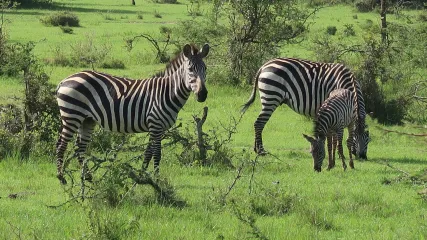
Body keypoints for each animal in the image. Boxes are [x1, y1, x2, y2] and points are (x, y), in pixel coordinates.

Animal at [55, 43, 211, 184]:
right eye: (190, 69)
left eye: (205, 69)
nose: (202, 95)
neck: (167, 92)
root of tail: (65, 80)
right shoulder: (156, 124)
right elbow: (157, 154)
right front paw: (158, 180)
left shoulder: (157, 128)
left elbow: (148, 153)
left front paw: (143, 175)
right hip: (72, 116)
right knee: (61, 145)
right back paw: (61, 178)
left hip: (87, 120)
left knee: (80, 147)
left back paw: (87, 177)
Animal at [241, 57, 372, 159]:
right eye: (356, 137)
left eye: (368, 139)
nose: (363, 157)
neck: (344, 84)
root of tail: (264, 66)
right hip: (271, 97)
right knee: (259, 123)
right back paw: (261, 151)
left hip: (268, 98)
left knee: (258, 123)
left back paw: (256, 149)